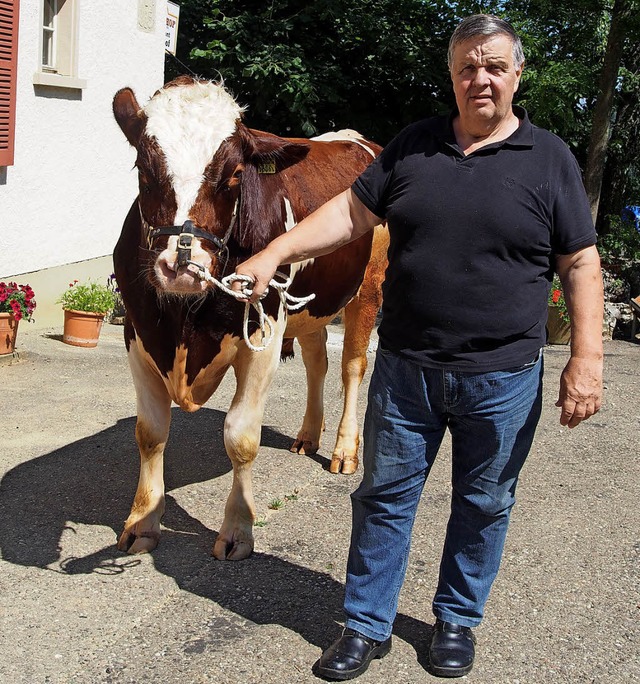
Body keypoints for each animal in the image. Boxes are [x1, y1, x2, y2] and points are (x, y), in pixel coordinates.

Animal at [112, 79, 388, 560]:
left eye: (235, 176)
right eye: (144, 170)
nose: (182, 266)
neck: (183, 323)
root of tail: (354, 137)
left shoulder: (264, 334)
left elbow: (241, 438)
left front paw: (238, 530)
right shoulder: (139, 334)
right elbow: (150, 432)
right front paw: (142, 522)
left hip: (366, 289)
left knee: (353, 367)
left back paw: (344, 449)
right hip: (310, 308)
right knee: (317, 362)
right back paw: (308, 436)